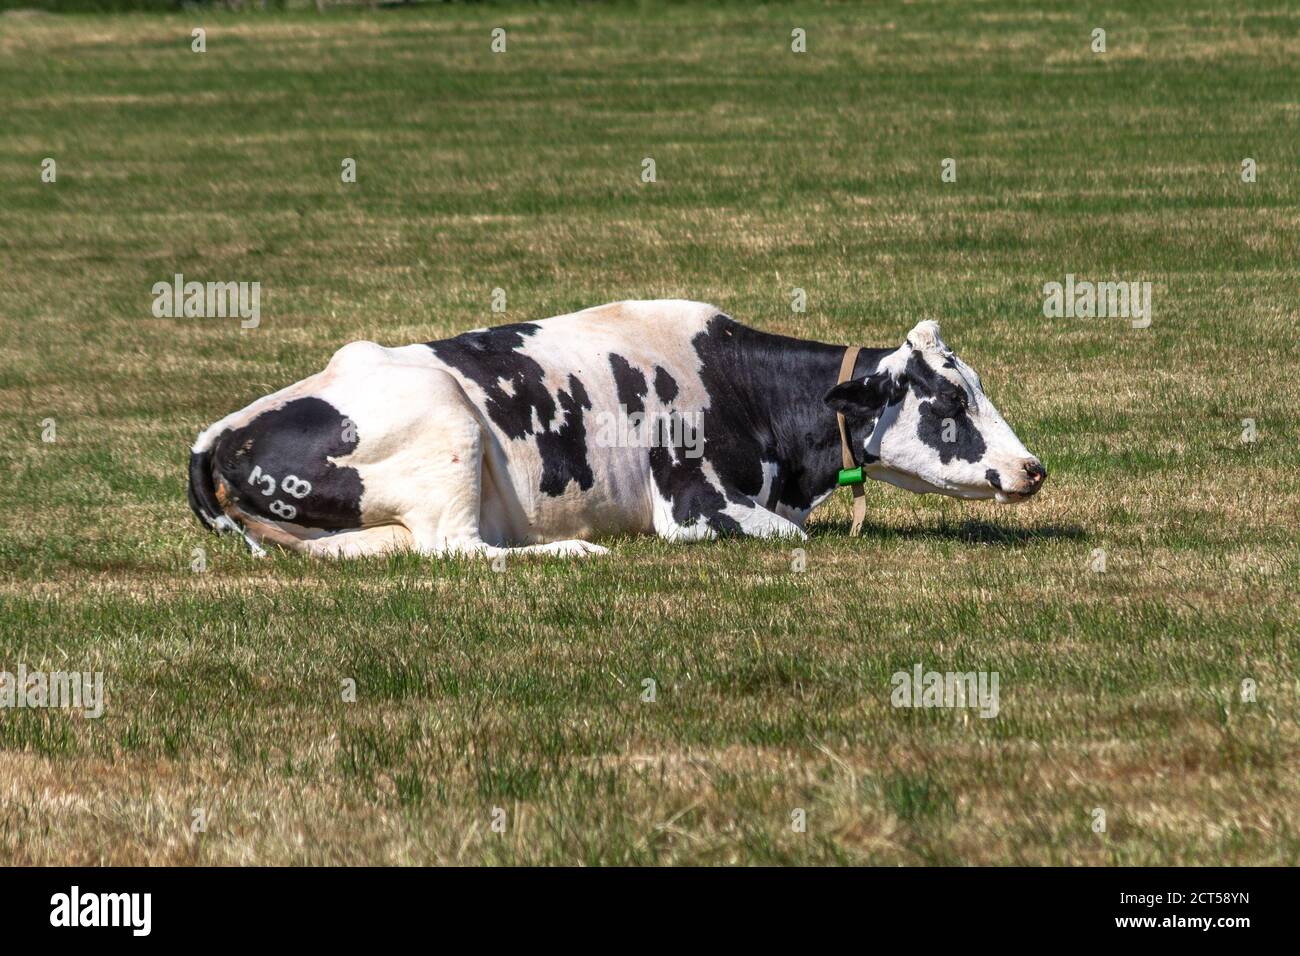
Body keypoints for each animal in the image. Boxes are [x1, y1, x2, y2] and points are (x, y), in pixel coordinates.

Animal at [188, 300, 1046, 558]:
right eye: (949, 402)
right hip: (450, 428)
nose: (1033, 467)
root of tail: (218, 431)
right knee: (459, 548)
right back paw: (573, 549)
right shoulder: (695, 507)